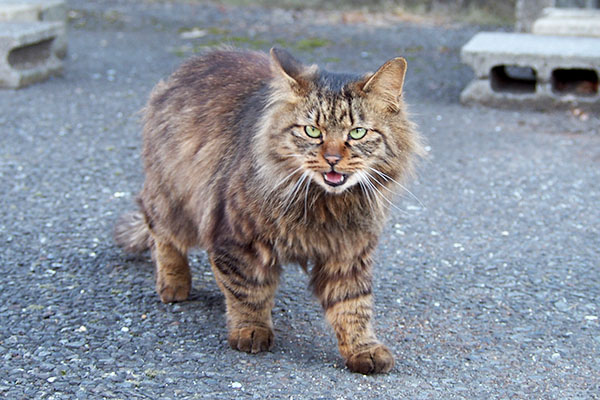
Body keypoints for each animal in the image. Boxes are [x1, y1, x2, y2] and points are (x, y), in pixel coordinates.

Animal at [115, 47, 424, 376]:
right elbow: (247, 290)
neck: (323, 205)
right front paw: (251, 330)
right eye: (312, 131)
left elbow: (353, 306)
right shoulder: (237, 239)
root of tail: (196, 61)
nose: (331, 159)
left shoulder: (349, 252)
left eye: (357, 133)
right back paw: (174, 285)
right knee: (159, 232)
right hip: (174, 199)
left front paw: (362, 349)